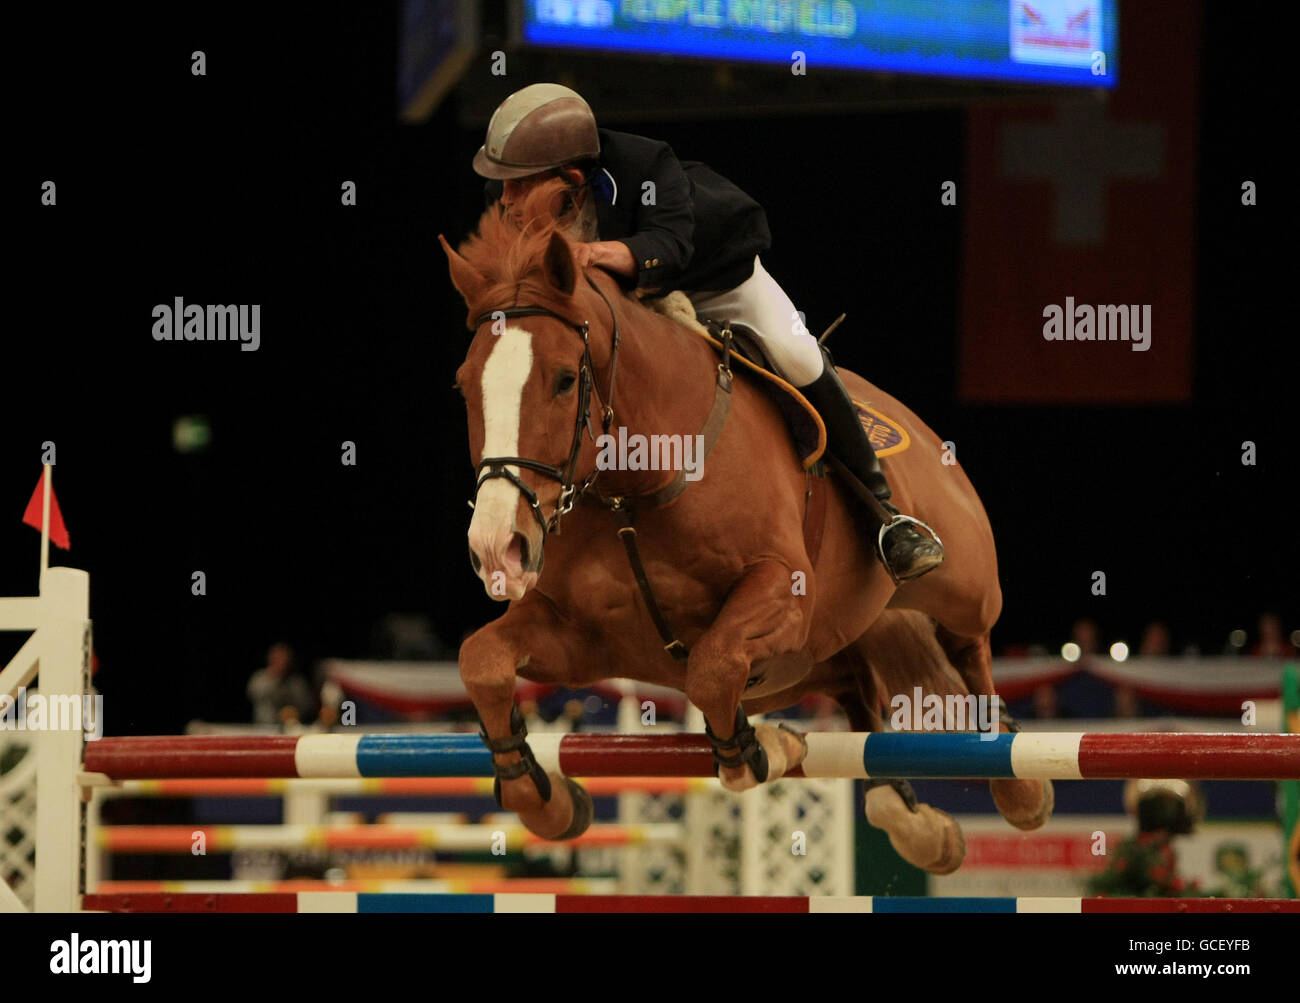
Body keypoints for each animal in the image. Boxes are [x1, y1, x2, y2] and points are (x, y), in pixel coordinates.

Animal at [441, 184, 1050, 873]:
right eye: (464, 388)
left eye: (566, 380)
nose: (498, 546)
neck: (633, 490)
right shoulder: (586, 639)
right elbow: (483, 660)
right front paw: (545, 800)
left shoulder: (783, 593)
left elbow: (713, 667)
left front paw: (764, 752)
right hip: (825, 653)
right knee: (860, 694)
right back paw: (914, 821)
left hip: (962, 586)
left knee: (970, 651)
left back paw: (1015, 779)